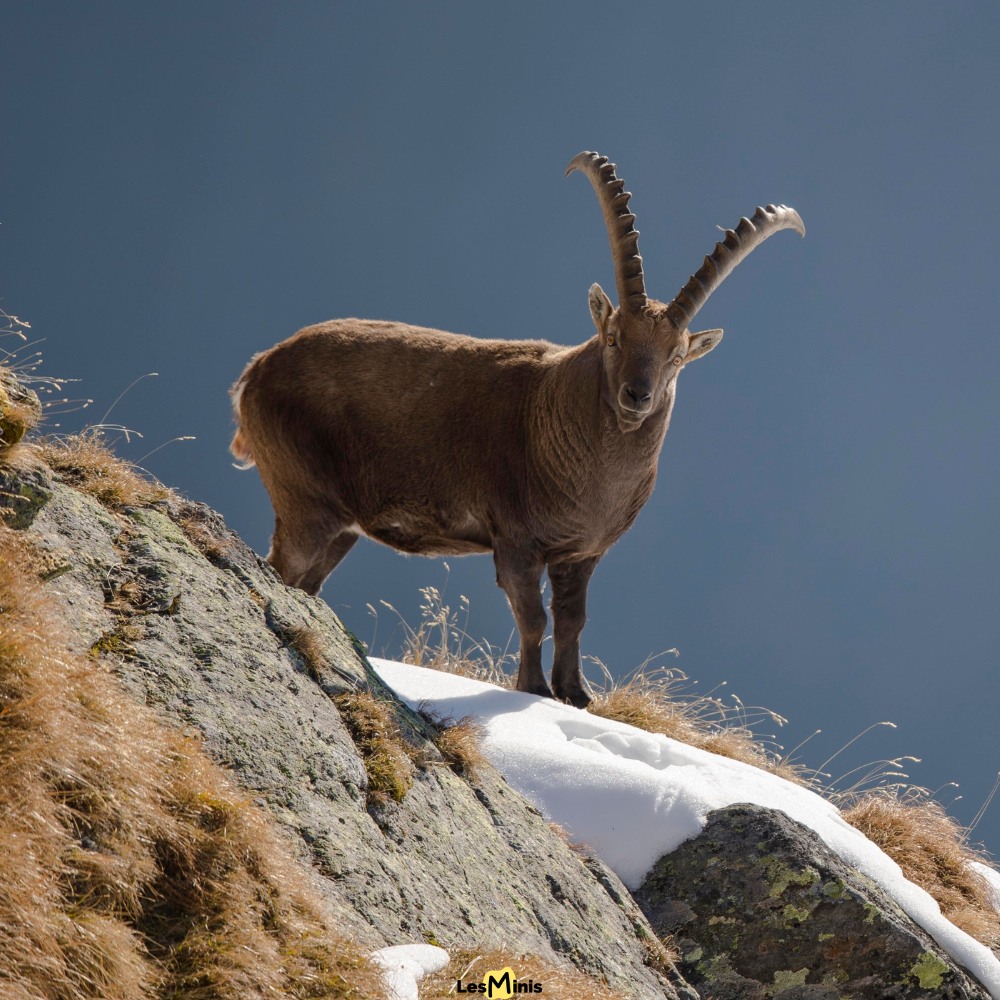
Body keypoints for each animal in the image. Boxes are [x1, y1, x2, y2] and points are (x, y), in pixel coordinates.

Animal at [231, 151, 804, 708]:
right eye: (613, 337)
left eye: (678, 357)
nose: (636, 397)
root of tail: (257, 371)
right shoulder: (516, 542)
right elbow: (533, 617)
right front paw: (533, 689)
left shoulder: (581, 553)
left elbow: (573, 620)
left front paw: (575, 695)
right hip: (305, 500)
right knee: (281, 565)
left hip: (342, 525)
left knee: (307, 581)